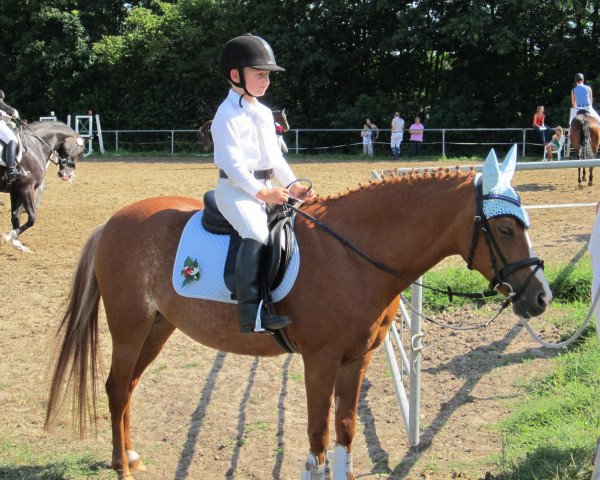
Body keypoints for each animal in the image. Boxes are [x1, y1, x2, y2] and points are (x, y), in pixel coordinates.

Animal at [45, 147, 552, 480]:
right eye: (506, 229)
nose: (542, 298)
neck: (354, 254)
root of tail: (113, 221)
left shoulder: (357, 359)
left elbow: (344, 431)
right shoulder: (320, 361)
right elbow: (317, 436)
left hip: (158, 327)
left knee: (128, 387)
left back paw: (129, 456)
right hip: (130, 327)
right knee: (116, 388)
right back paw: (121, 467)